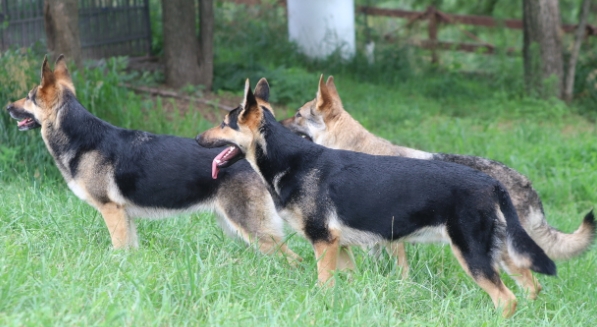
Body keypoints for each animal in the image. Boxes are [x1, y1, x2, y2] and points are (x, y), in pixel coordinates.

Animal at [4, 55, 300, 264]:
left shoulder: (111, 212)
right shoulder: (124, 217)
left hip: (251, 227)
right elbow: (129, 250)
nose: (7, 107)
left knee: (293, 259)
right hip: (235, 225)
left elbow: (118, 249)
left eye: (29, 98)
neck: (82, 139)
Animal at [198, 79, 556, 318]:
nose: (198, 138)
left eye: (223, 123)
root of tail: (491, 183)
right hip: (501, 254)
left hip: (473, 255)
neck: (291, 159)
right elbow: (347, 283)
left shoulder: (324, 243)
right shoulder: (340, 246)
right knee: (531, 288)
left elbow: (323, 285)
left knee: (506, 299)